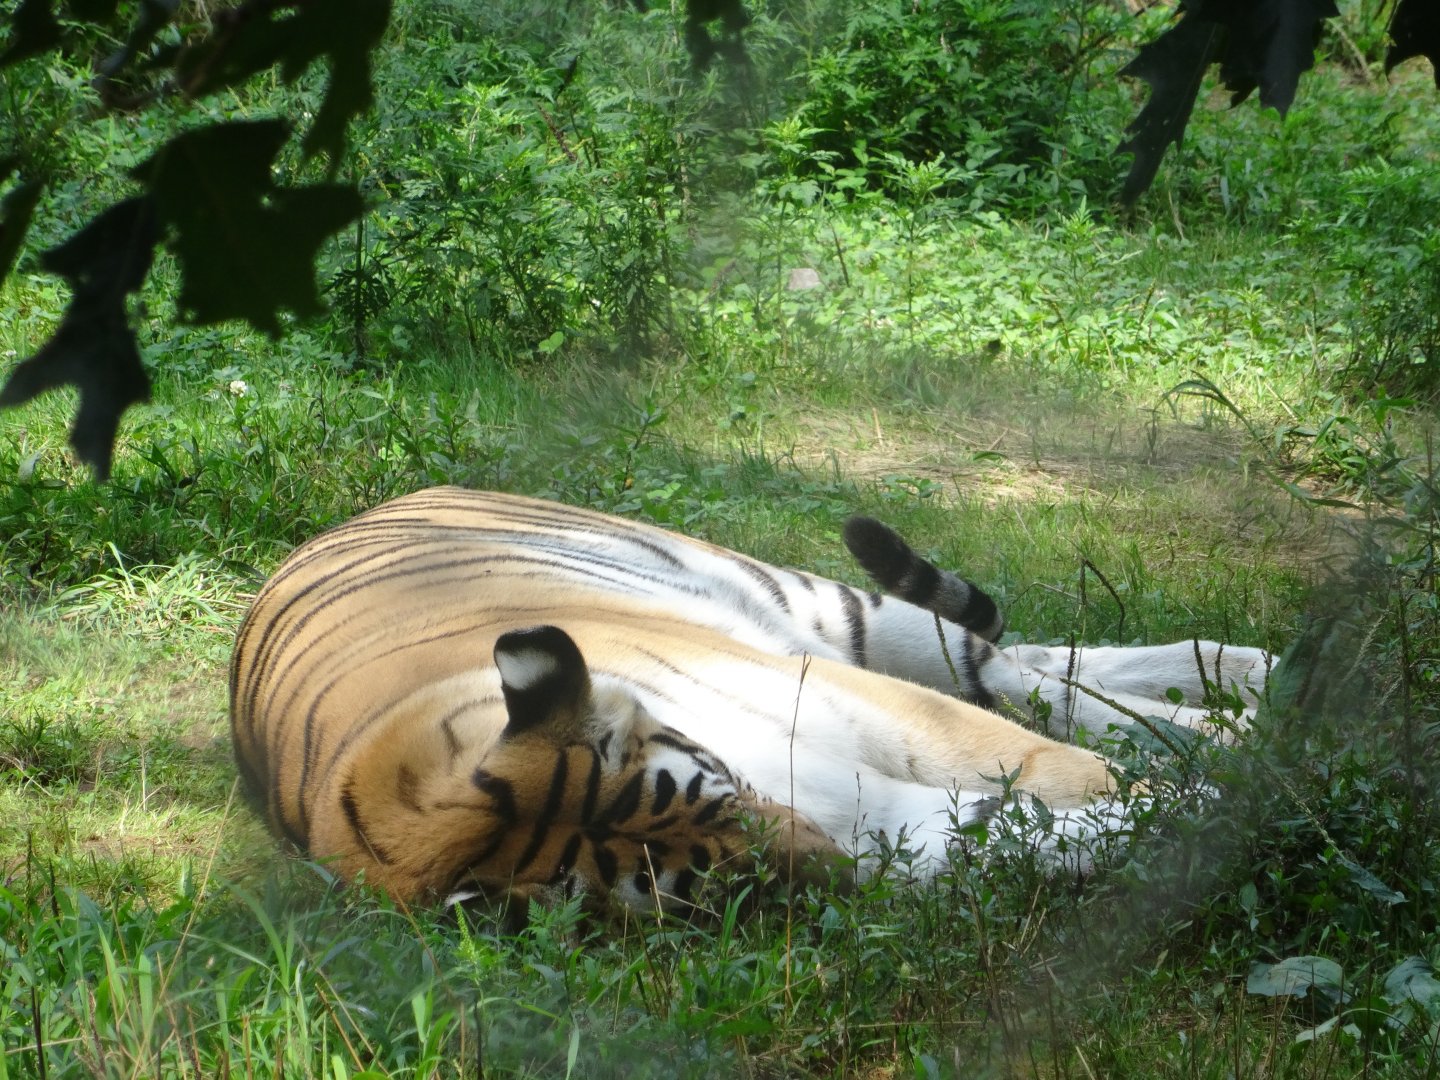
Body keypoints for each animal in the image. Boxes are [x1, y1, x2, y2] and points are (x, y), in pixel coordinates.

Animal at [230, 486, 1270, 913]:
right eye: (699, 879)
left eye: (719, 789)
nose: (837, 869)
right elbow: (1038, 822)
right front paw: (1195, 810)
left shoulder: (850, 697)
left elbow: (1056, 764)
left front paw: (1221, 783)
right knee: (1033, 668)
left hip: (832, 609)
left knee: (1020, 672)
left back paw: (1248, 691)